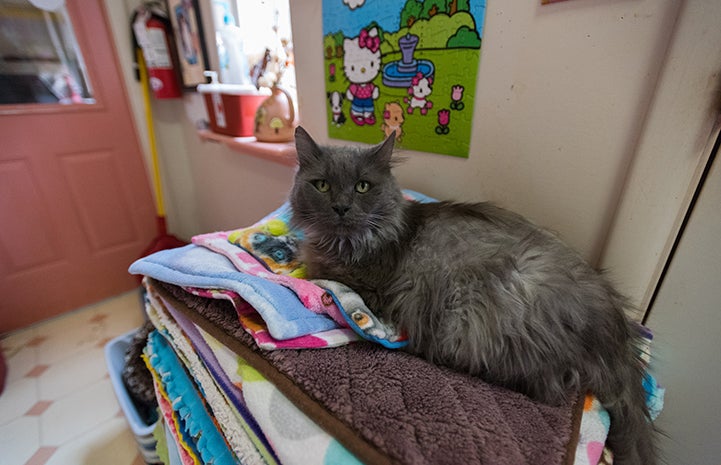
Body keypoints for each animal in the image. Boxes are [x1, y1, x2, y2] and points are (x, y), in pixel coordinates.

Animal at [286, 127, 652, 464]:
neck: (347, 243)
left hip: (478, 312)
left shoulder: (360, 283)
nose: (341, 207)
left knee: (548, 388)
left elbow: (312, 269)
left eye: (363, 186)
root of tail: (613, 328)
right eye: (322, 185)